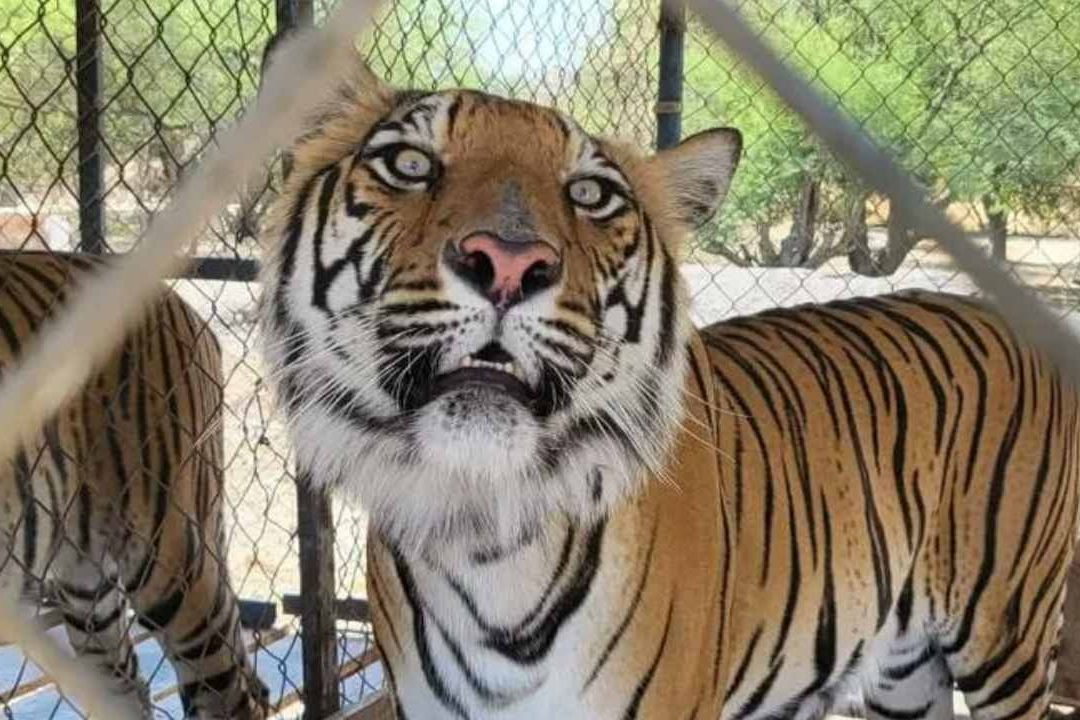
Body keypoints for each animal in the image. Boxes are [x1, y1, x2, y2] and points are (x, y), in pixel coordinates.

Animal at [256, 47, 1079, 720]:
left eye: (591, 195)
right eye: (410, 165)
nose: (510, 262)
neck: (488, 533)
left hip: (1006, 633)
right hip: (906, 668)